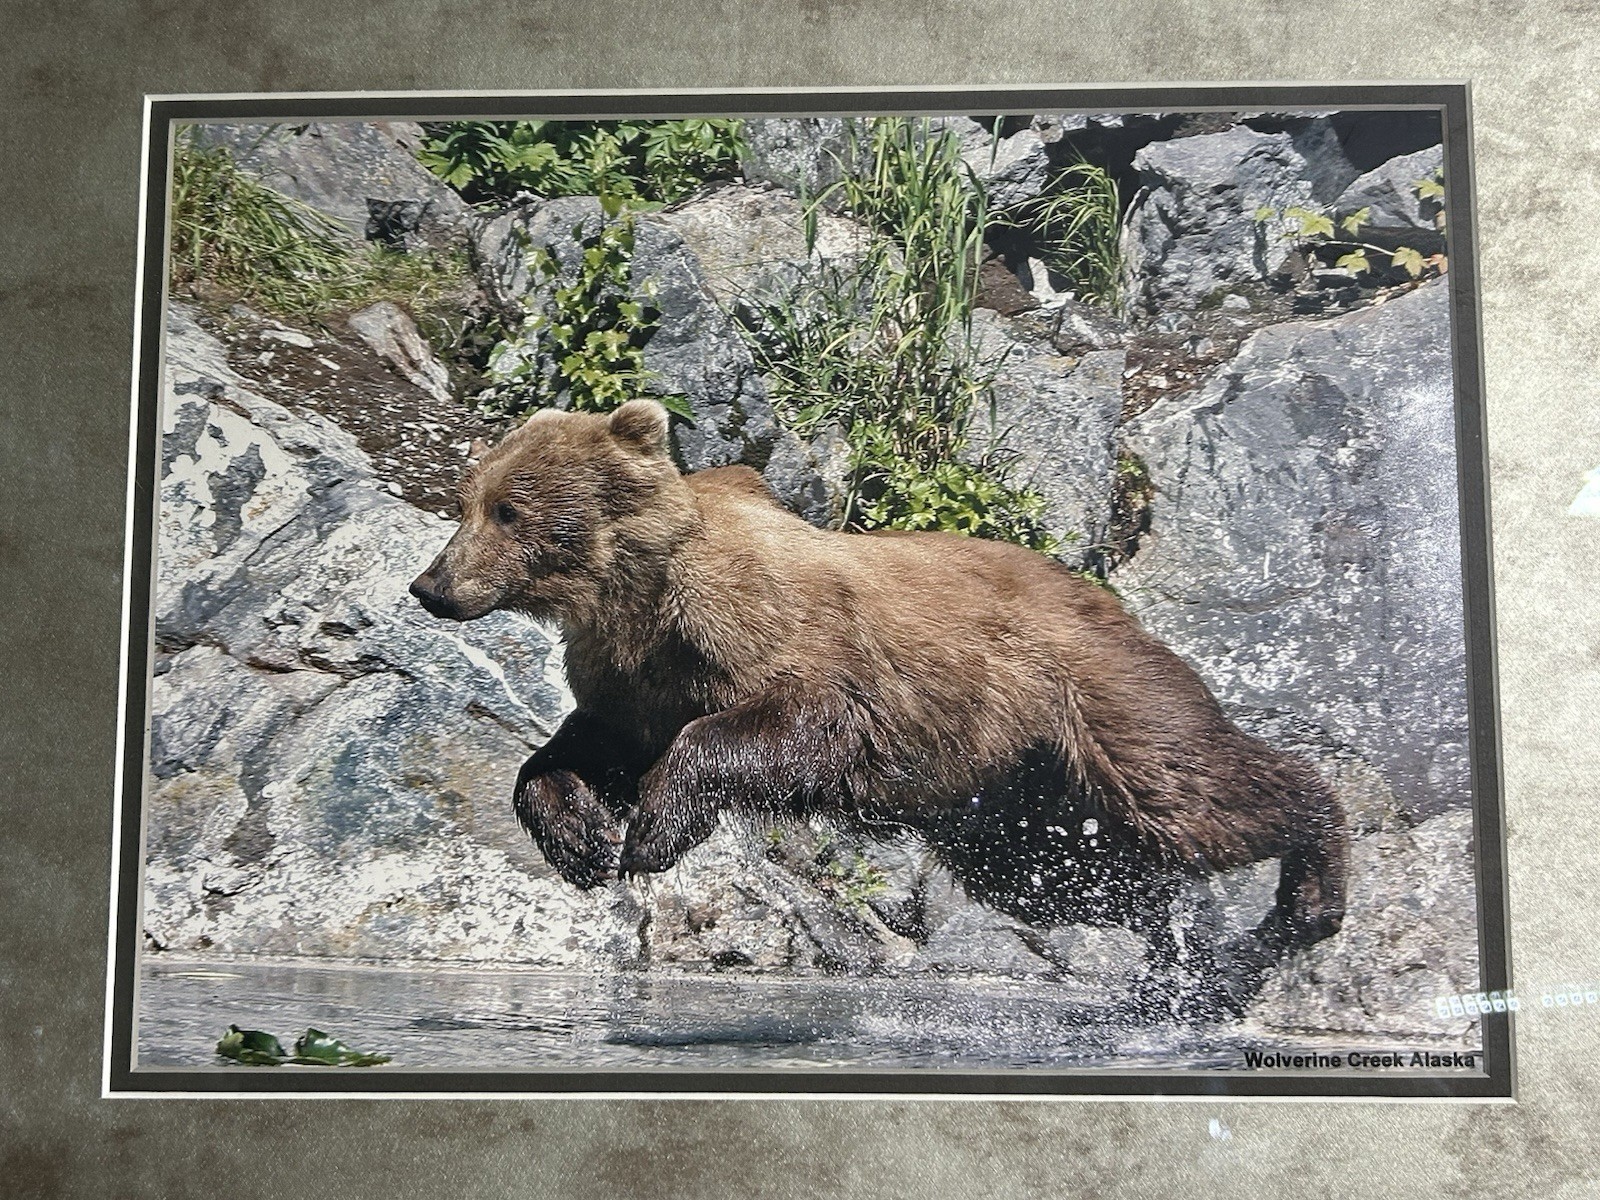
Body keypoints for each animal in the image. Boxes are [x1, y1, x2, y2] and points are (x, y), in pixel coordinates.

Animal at [410, 398, 1347, 1012]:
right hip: (1013, 799)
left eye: (509, 508)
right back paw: (1175, 956)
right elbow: (573, 749)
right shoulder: (625, 679)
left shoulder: (770, 634)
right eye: (465, 502)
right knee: (1071, 880)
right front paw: (582, 838)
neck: (631, 597)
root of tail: (1107, 596)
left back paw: (1308, 887)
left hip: (1087, 697)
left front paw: (651, 830)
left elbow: (795, 720)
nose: (431, 586)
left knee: (1188, 792)